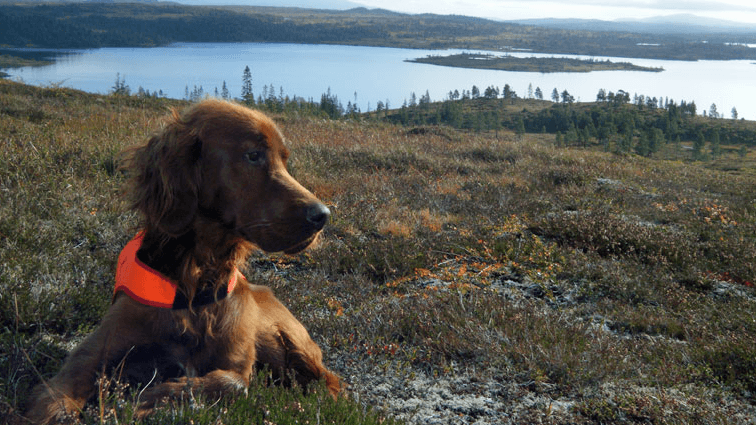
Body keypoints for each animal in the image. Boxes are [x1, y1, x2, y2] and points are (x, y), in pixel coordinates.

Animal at [27, 100, 340, 424]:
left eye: (284, 160)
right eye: (253, 155)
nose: (323, 215)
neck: (194, 280)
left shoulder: (237, 361)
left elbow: (231, 383)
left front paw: (148, 398)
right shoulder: (90, 355)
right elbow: (53, 402)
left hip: (287, 339)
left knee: (327, 381)